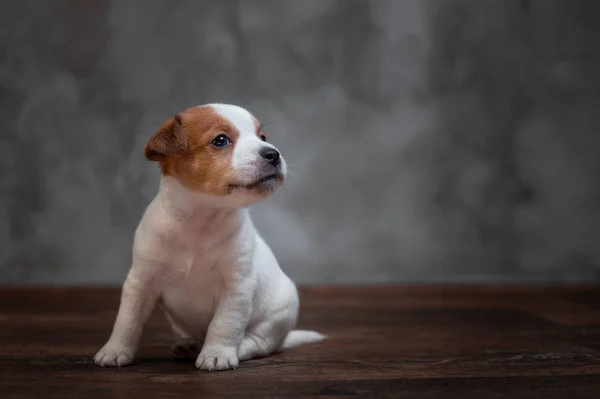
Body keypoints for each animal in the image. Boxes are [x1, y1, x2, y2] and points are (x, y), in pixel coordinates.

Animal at [94, 104, 326, 372]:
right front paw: (115, 350)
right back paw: (188, 344)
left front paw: (217, 354)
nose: (273, 154)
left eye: (262, 137)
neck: (200, 221)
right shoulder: (140, 282)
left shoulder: (236, 288)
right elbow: (127, 321)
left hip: (278, 316)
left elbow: (225, 324)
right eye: (220, 140)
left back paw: (237, 349)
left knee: (260, 342)